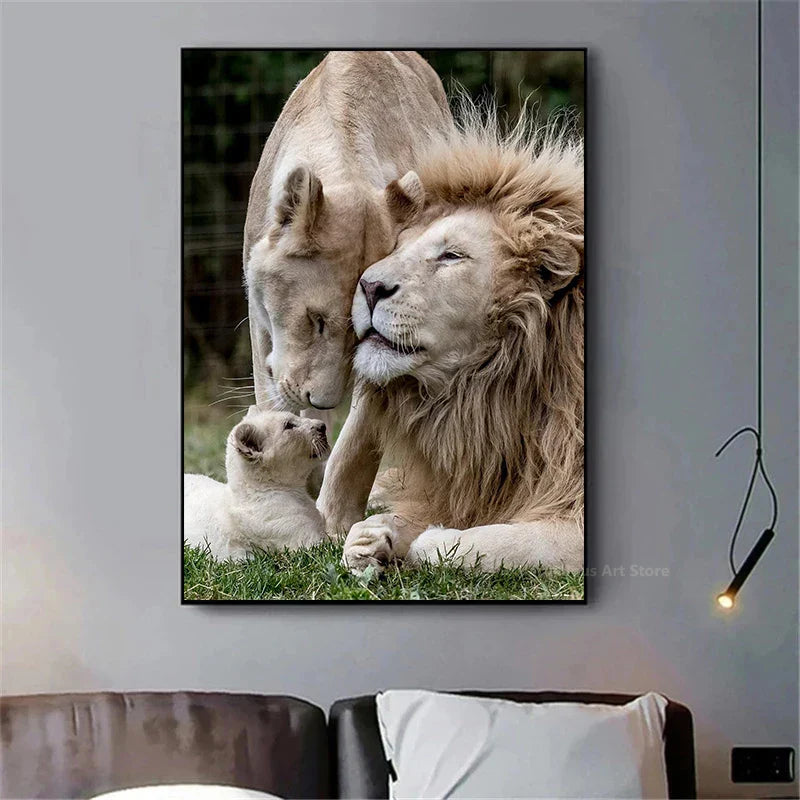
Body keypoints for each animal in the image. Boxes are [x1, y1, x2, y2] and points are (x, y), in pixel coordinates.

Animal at [317, 103, 584, 574]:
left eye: (451, 256)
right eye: (397, 247)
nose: (368, 286)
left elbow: (505, 541)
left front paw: (432, 540)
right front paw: (373, 536)